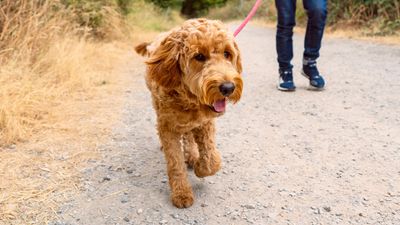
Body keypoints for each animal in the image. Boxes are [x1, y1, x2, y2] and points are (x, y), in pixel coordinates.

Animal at [135, 18, 244, 208]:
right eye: (199, 56)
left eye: (227, 54)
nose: (228, 87)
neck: (189, 100)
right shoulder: (168, 126)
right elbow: (175, 163)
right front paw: (181, 193)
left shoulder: (205, 123)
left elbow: (212, 159)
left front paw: (201, 167)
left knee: (188, 136)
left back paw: (192, 155)